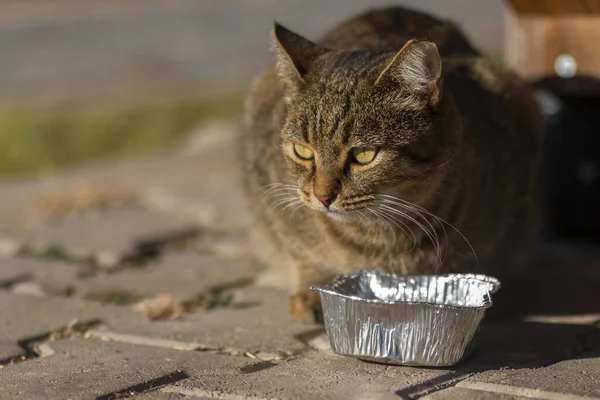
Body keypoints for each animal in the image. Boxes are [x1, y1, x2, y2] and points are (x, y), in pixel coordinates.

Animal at [239, 6, 544, 322]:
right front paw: (309, 293)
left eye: (363, 154)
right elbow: (300, 252)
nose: (323, 197)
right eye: (303, 151)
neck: (378, 238)